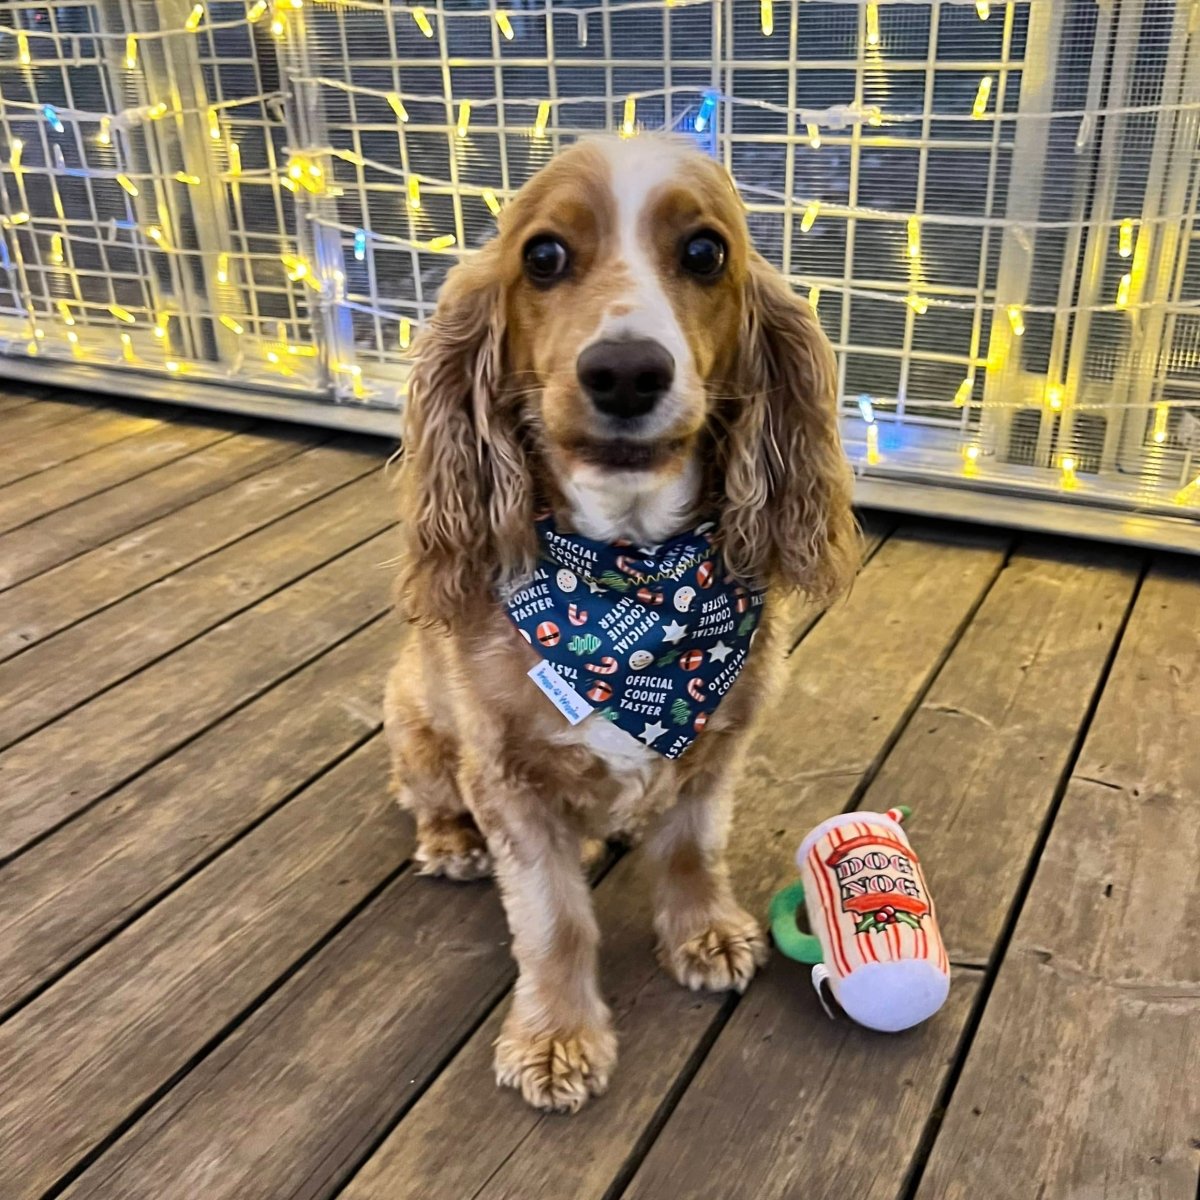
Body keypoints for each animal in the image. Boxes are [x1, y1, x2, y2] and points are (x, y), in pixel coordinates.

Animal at [381, 133, 854, 1113]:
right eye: (544, 256)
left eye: (706, 252)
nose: (628, 371)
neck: (630, 588)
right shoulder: (507, 783)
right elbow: (554, 922)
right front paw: (557, 1040)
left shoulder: (718, 749)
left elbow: (690, 853)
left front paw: (704, 934)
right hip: (410, 714)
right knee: (422, 793)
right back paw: (448, 843)